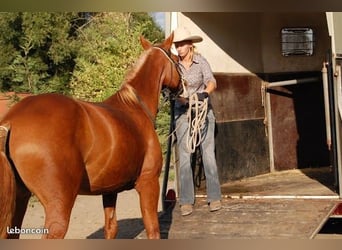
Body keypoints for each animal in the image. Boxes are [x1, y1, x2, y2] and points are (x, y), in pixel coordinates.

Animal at [0, 32, 182, 239]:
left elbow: (111, 228)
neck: (135, 107)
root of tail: (11, 121)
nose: (183, 87)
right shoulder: (148, 183)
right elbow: (153, 230)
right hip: (58, 207)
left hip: (19, 201)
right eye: (177, 60)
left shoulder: (110, 190)